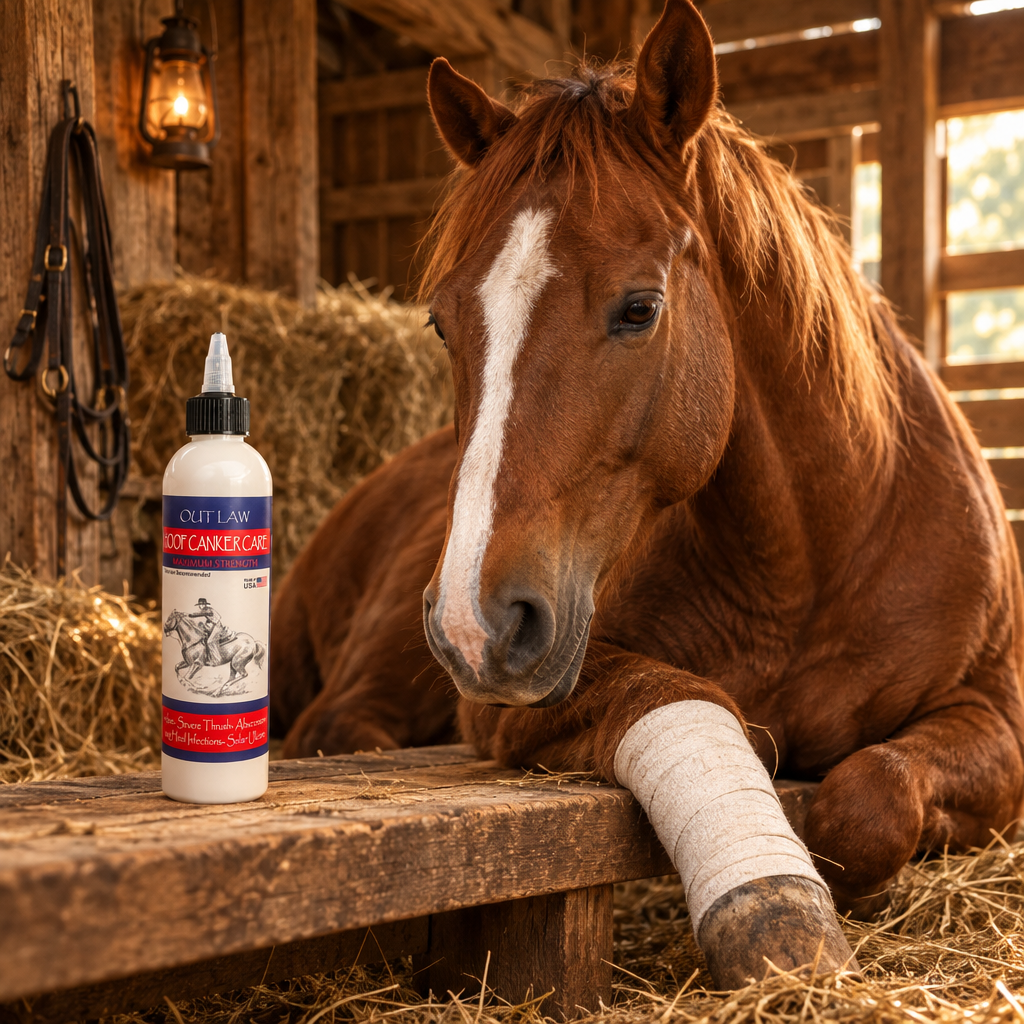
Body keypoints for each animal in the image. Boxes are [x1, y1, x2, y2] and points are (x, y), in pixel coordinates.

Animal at [269, 0, 1024, 983]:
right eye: (442, 321)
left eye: (640, 309)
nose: (478, 623)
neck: (808, 566)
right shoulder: (524, 707)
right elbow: (708, 710)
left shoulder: (992, 716)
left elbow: (870, 798)